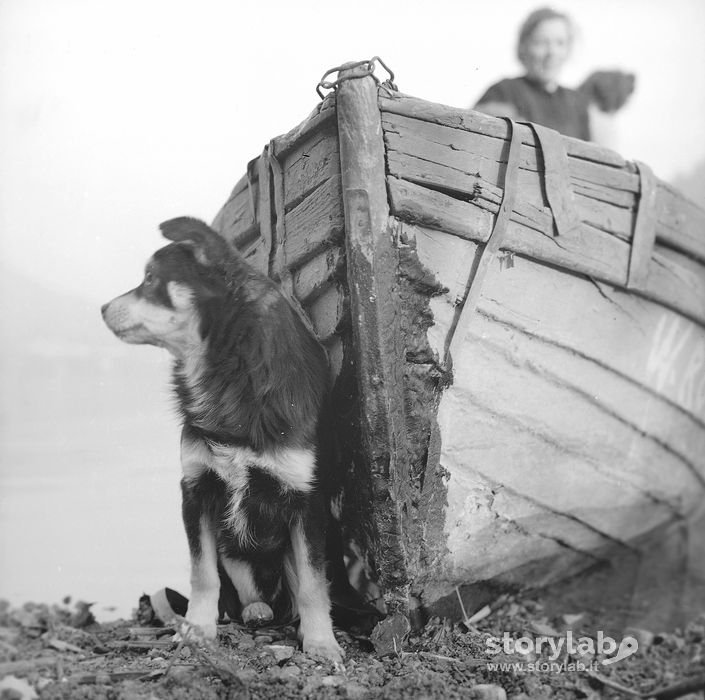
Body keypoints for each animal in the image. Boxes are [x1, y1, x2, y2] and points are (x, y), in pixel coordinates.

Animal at [102, 219, 344, 660]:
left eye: (150, 279)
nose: (102, 308)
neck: (228, 370)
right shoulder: (196, 490)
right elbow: (203, 574)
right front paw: (197, 629)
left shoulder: (306, 501)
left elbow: (313, 583)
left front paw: (321, 642)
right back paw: (254, 612)